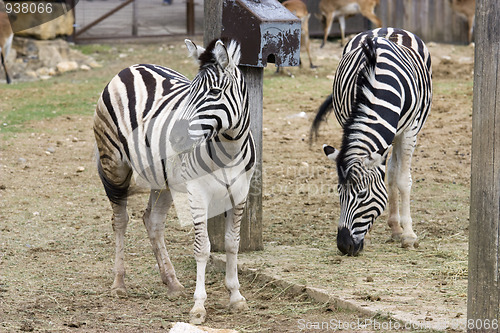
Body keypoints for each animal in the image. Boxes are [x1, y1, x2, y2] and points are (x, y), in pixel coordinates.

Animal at [93, 37, 256, 322]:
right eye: (190, 93)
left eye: (215, 92)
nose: (175, 138)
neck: (229, 150)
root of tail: (132, 67)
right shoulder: (198, 192)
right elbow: (203, 247)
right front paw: (199, 306)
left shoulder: (239, 193)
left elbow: (232, 244)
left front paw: (235, 296)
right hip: (114, 164)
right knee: (120, 220)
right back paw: (119, 283)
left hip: (162, 178)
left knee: (153, 221)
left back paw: (172, 282)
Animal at [310, 28, 432, 255]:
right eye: (339, 193)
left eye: (362, 194)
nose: (344, 246)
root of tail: (389, 28)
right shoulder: (350, 120)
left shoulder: (409, 131)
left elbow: (403, 180)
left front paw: (409, 236)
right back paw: (395, 227)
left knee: (393, 171)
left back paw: (399, 228)